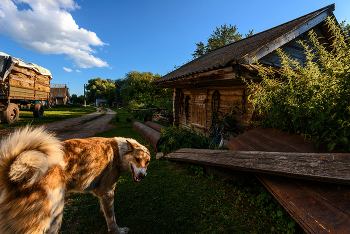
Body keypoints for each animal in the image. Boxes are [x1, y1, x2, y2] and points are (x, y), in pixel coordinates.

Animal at [0, 126, 149, 234]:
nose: (142, 176)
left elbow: (106, 211)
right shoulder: (108, 191)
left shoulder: (101, 193)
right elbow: (111, 218)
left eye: (147, 162)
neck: (118, 152)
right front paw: (117, 231)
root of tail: (12, 176)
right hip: (53, 217)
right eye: (137, 159)